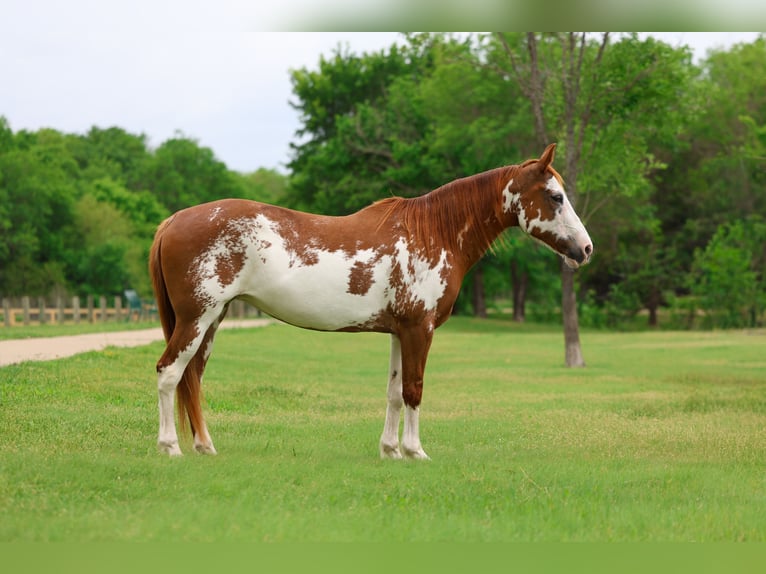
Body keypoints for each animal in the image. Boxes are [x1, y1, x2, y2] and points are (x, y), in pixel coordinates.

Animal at [149, 143, 592, 459]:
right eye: (555, 196)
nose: (586, 249)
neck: (434, 233)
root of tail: (174, 220)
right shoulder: (419, 329)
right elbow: (414, 389)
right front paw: (415, 451)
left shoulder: (399, 331)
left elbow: (394, 391)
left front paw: (390, 451)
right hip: (196, 318)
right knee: (170, 372)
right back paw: (170, 447)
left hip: (212, 320)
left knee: (193, 377)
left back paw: (205, 446)